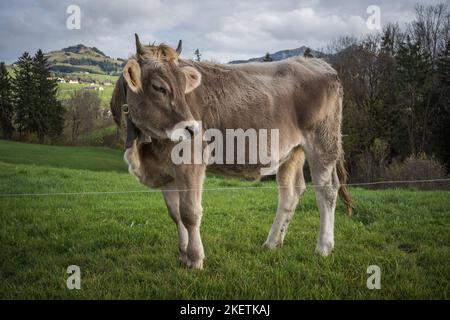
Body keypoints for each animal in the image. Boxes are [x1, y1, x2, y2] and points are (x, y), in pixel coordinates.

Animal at [111, 34, 352, 270]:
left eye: (183, 86)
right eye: (158, 87)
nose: (192, 129)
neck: (144, 149)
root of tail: (319, 64)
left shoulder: (191, 162)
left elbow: (190, 213)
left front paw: (195, 259)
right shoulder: (164, 170)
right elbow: (175, 214)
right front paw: (183, 255)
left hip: (323, 142)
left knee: (327, 190)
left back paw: (323, 247)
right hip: (293, 151)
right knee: (290, 192)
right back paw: (272, 242)